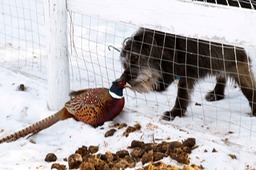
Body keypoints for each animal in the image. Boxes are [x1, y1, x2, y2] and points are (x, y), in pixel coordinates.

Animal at [119, 27, 256, 119]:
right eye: (125, 63)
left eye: (135, 57)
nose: (122, 80)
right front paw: (176, 112)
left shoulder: (237, 57)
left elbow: (248, 88)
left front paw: (175, 113)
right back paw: (217, 94)